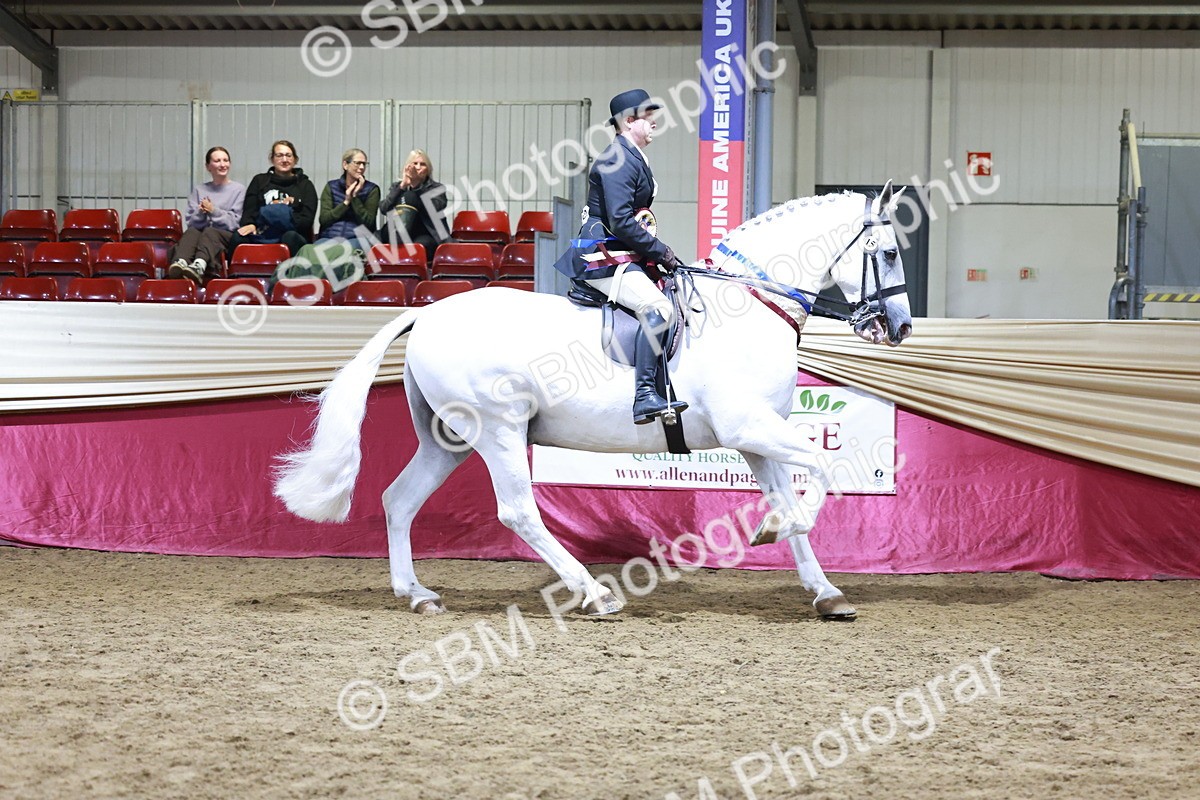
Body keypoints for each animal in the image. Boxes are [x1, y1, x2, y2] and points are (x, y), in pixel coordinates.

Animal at [274, 181, 913, 620]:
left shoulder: (759, 437)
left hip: (448, 440)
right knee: (518, 511)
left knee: (399, 500)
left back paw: (417, 594)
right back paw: (595, 592)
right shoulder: (748, 426)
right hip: (500, 431)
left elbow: (793, 492)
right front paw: (773, 531)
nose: (900, 327)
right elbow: (822, 470)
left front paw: (823, 589)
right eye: (886, 254)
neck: (751, 304)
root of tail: (428, 312)